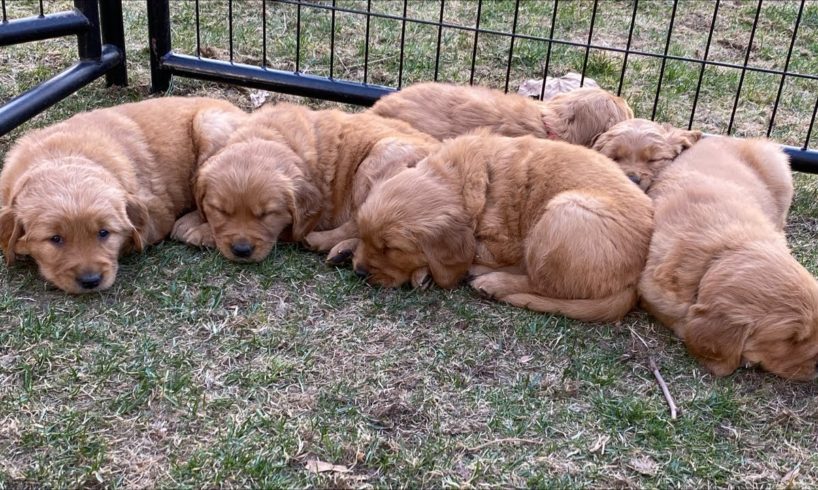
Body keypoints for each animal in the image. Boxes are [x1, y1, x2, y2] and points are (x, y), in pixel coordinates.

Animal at [0, 97, 245, 292]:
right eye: (55, 239)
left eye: (104, 233)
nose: (91, 281)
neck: (63, 153)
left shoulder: (156, 214)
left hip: (211, 127)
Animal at [171, 101, 440, 262]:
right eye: (220, 210)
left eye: (267, 214)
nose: (242, 251)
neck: (271, 135)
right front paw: (191, 220)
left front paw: (201, 232)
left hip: (379, 157)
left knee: (363, 220)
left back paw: (324, 243)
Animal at [350, 132, 652, 324]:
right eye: (363, 234)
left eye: (391, 249)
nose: (359, 272)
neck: (460, 179)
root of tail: (635, 281)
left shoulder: (502, 244)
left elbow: (472, 254)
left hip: (564, 213)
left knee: (544, 283)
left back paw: (490, 282)